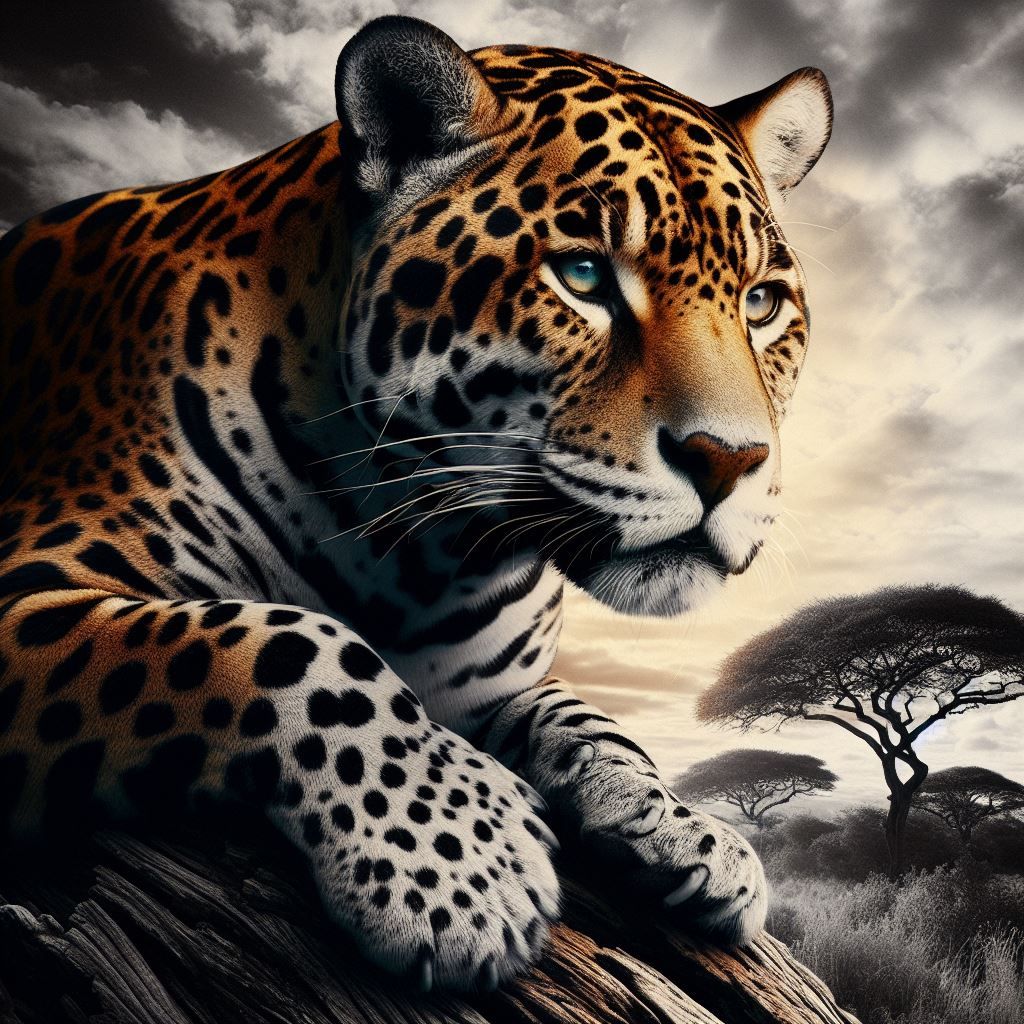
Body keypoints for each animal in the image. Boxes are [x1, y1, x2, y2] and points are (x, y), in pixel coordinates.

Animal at [0, 15, 832, 991]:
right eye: (584, 276)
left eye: (762, 302)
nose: (729, 460)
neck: (426, 555)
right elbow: (286, 645)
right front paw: (459, 867)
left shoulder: (488, 680)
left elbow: (585, 717)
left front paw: (686, 829)